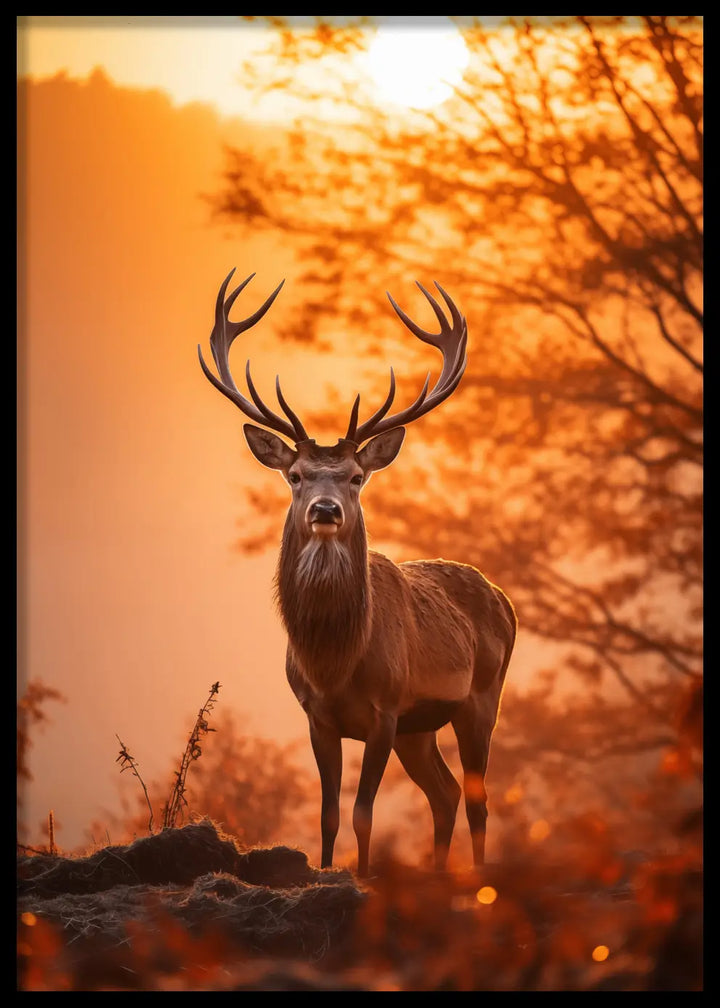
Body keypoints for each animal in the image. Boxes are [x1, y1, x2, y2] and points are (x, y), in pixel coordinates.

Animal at [198, 269, 517, 878]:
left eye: (354, 476)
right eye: (296, 475)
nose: (325, 510)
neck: (335, 660)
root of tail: (504, 599)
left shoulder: (386, 709)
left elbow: (364, 813)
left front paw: (365, 877)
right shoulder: (317, 716)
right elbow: (327, 814)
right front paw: (328, 872)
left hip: (481, 698)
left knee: (476, 798)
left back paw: (479, 878)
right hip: (421, 729)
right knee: (443, 793)